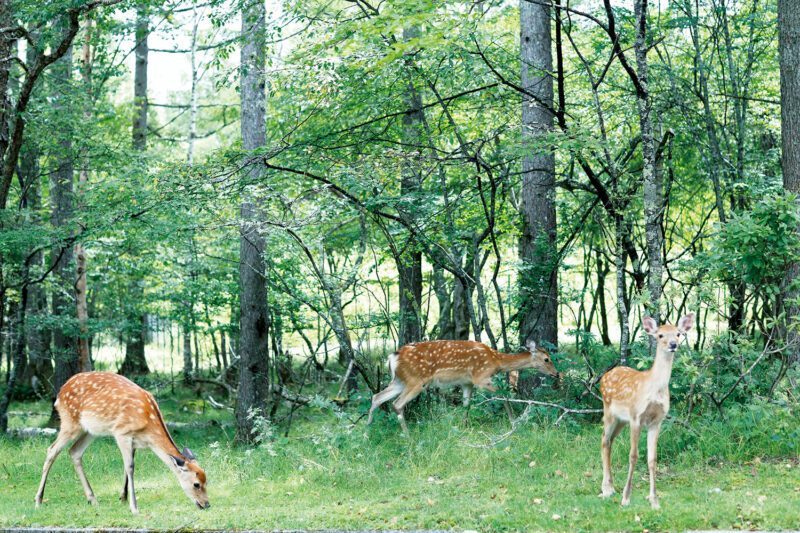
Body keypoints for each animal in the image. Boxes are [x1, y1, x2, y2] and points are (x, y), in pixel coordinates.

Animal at [34, 370, 211, 512]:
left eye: (206, 480)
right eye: (196, 483)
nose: (207, 504)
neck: (148, 429)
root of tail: (59, 394)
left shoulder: (134, 442)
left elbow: (129, 466)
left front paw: (123, 498)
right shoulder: (122, 432)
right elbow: (130, 467)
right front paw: (134, 506)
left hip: (90, 430)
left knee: (74, 451)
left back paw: (92, 499)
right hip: (70, 421)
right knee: (52, 450)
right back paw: (38, 500)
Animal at [368, 338, 560, 434]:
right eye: (546, 359)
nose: (557, 374)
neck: (496, 361)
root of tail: (393, 357)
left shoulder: (467, 382)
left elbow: (466, 405)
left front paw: (463, 427)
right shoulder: (480, 376)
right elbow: (502, 394)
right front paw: (514, 422)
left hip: (400, 381)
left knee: (376, 397)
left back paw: (366, 434)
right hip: (416, 380)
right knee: (396, 404)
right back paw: (408, 436)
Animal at [600, 312, 692, 508]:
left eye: (678, 334)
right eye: (660, 335)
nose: (673, 344)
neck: (655, 390)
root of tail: (604, 375)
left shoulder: (656, 421)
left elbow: (652, 459)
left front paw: (654, 500)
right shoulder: (636, 416)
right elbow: (633, 455)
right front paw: (626, 498)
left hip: (621, 420)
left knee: (609, 441)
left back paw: (610, 486)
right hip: (609, 411)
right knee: (604, 439)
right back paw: (607, 489)